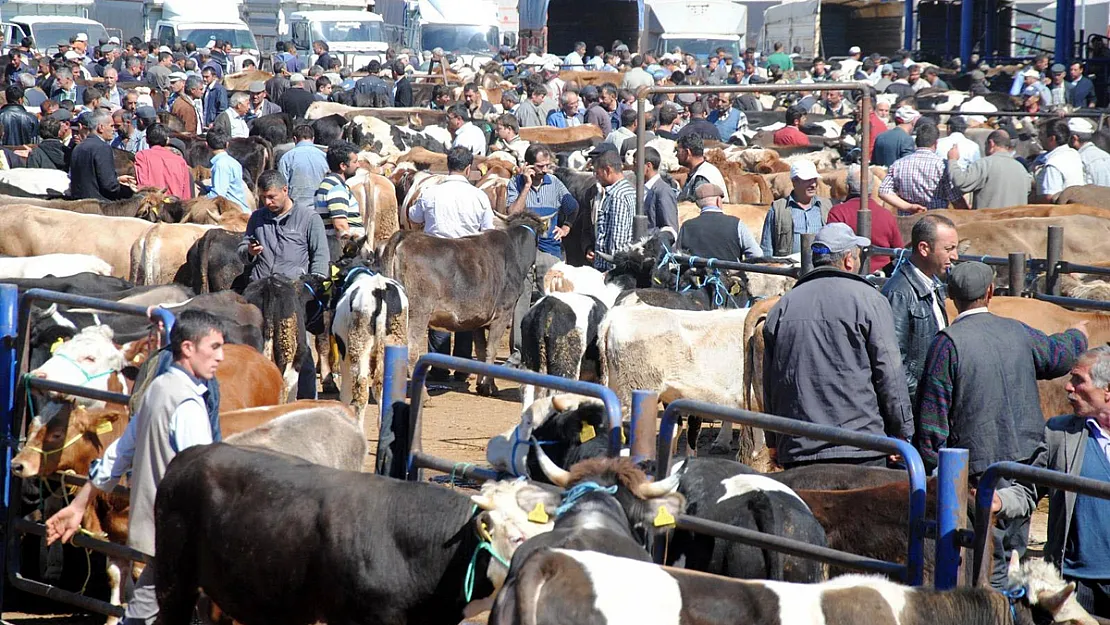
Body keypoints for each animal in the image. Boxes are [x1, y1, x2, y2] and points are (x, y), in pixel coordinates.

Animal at [330, 266, 410, 417]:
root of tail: (379, 287)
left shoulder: (344, 354)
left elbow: (346, 392)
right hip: (394, 341)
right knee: (383, 386)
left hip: (359, 345)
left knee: (360, 388)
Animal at [381, 213, 546, 392]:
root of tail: (406, 236)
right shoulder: (503, 313)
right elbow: (491, 350)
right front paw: (489, 386)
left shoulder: (478, 318)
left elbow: (481, 350)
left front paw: (481, 384)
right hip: (419, 312)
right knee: (411, 350)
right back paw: (423, 393)